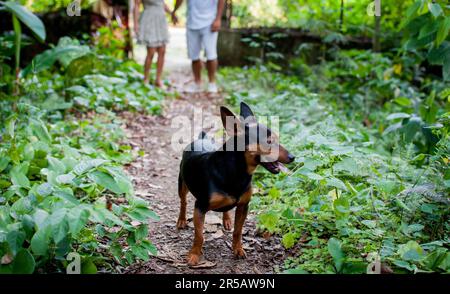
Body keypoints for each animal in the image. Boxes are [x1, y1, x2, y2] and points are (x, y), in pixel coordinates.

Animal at [176, 102, 296, 266]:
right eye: (269, 141)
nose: (293, 157)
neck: (237, 172)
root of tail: (201, 139)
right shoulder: (199, 208)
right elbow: (199, 235)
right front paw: (194, 255)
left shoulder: (243, 206)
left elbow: (238, 231)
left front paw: (238, 249)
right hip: (182, 185)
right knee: (183, 202)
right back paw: (181, 220)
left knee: (225, 210)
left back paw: (226, 220)